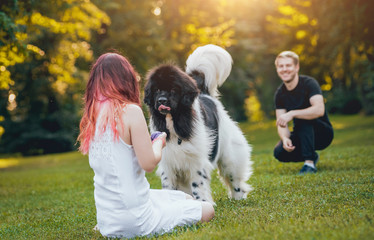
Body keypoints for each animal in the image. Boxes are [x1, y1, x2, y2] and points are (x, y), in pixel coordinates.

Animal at [145, 44, 253, 203]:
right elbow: (169, 185)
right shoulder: (168, 161)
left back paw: (238, 198)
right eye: (157, 90)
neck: (174, 122)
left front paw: (202, 203)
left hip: (230, 155)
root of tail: (205, 94)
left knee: (234, 178)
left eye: (173, 90)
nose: (161, 100)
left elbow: (197, 184)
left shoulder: (196, 161)